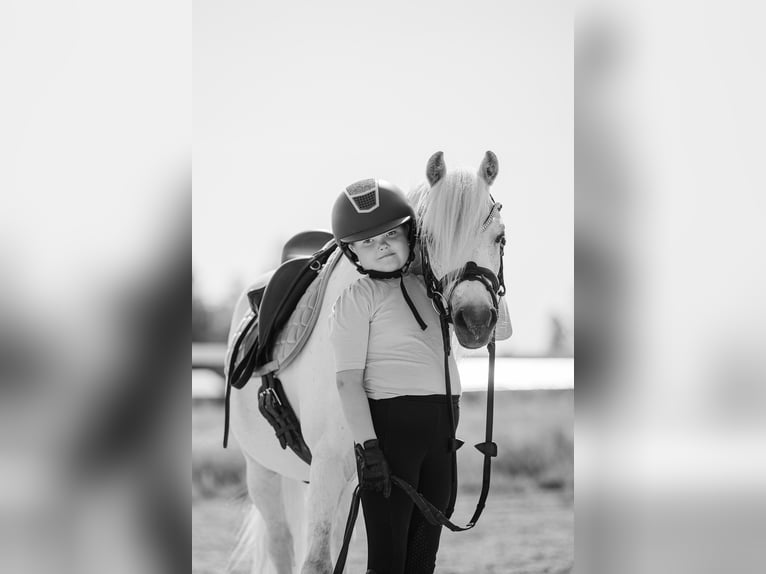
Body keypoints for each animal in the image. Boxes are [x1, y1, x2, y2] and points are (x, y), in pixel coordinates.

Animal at [227, 151, 507, 573]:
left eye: (499, 237)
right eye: (430, 238)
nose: (474, 320)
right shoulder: (328, 468)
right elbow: (317, 561)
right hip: (265, 474)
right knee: (281, 544)